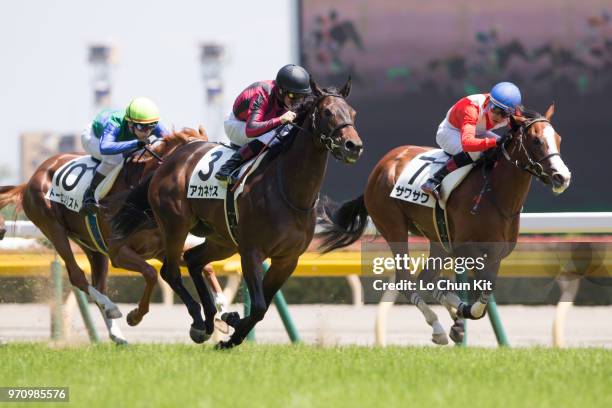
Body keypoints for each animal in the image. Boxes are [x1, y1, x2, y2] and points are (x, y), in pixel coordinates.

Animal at [0, 128, 214, 344]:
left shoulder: (161, 249)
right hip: (53, 228)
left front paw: (218, 312)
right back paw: (111, 308)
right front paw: (135, 316)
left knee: (98, 284)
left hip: (92, 246)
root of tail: (31, 178)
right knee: (77, 276)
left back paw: (116, 334)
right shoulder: (118, 253)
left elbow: (206, 267)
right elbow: (151, 274)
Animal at [111, 77, 364, 348]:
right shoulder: (251, 251)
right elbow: (259, 305)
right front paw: (231, 332)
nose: (353, 146)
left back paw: (210, 319)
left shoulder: (287, 259)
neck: (288, 189)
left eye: (353, 113)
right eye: (327, 112)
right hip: (175, 226)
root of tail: (168, 162)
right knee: (171, 271)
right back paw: (198, 322)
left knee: (193, 260)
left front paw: (232, 326)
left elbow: (262, 305)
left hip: (222, 241)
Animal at [318, 104, 572, 344]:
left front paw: (461, 316)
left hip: (437, 237)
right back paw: (439, 328)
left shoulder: (496, 253)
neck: (494, 195)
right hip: (393, 226)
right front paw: (463, 312)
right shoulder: (465, 249)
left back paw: (453, 319)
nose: (563, 177)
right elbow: (480, 296)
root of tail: (381, 166)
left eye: (558, 139)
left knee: (425, 278)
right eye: (537, 141)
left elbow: (484, 291)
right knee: (406, 280)